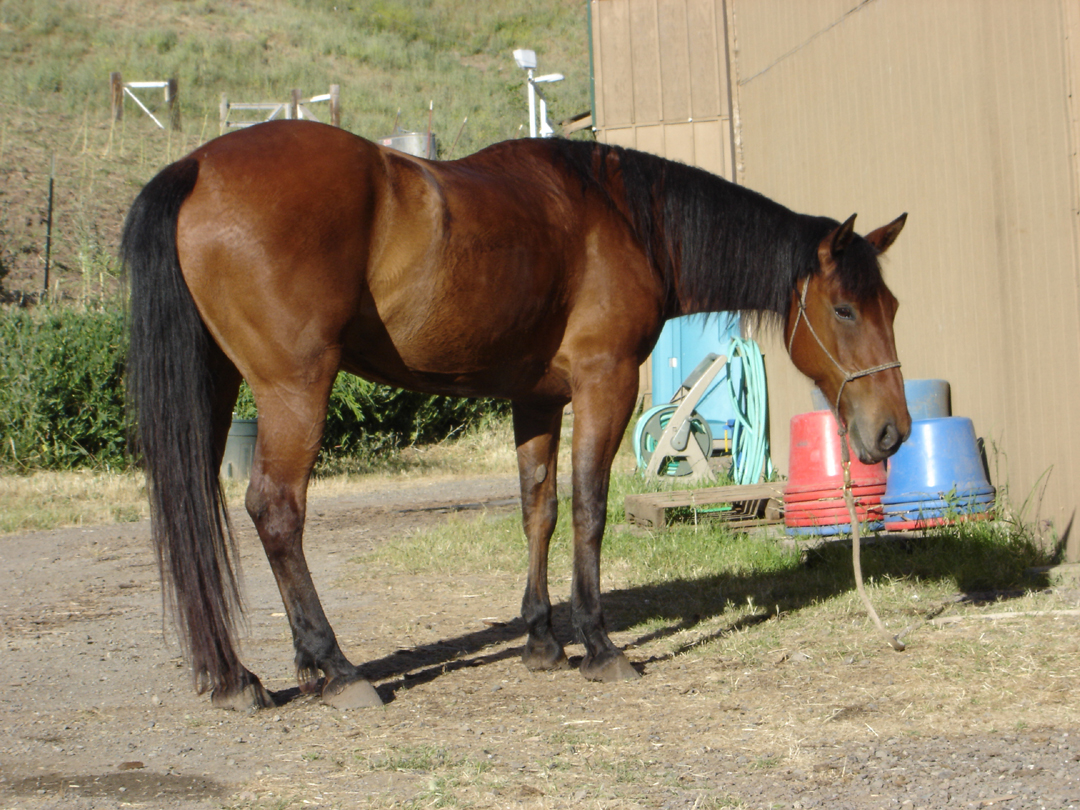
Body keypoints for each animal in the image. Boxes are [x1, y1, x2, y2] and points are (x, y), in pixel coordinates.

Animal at [122, 118, 907, 708]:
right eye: (844, 309)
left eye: (891, 306)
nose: (891, 430)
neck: (620, 216)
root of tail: (196, 165)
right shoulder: (604, 381)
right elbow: (589, 506)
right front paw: (597, 643)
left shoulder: (537, 398)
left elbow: (540, 509)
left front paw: (542, 639)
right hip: (294, 390)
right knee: (275, 510)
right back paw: (335, 669)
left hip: (217, 386)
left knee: (197, 509)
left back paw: (233, 677)